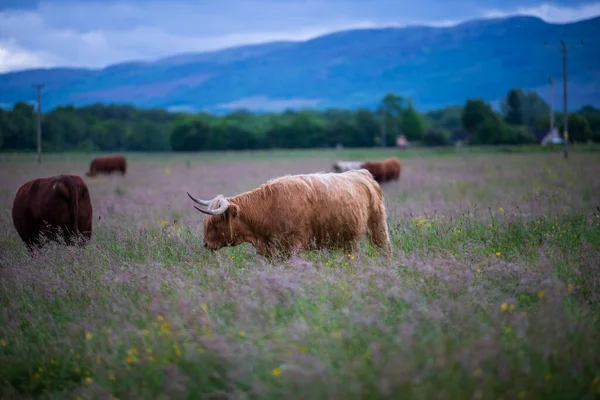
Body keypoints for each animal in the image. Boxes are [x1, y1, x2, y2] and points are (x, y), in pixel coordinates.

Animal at [188, 169, 394, 260]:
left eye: (216, 222)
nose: (205, 244)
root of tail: (362, 172)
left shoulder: (294, 244)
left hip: (377, 226)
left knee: (384, 247)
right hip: (349, 239)